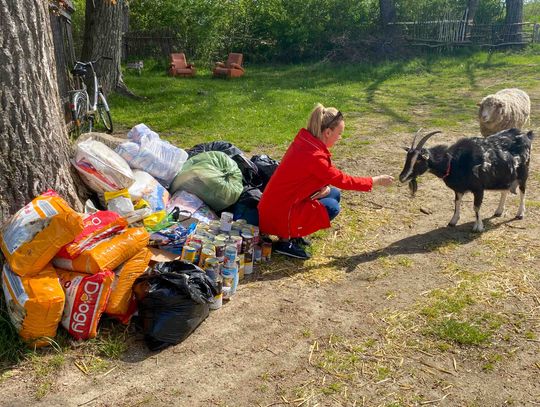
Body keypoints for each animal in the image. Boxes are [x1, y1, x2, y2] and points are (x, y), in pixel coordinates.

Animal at [398, 129, 532, 234]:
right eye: (407, 158)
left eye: (418, 160)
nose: (402, 177)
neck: (453, 162)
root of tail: (526, 135)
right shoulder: (458, 189)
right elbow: (456, 203)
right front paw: (453, 221)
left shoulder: (478, 188)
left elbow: (476, 207)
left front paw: (478, 227)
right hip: (505, 175)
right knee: (504, 190)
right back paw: (498, 211)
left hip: (523, 173)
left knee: (523, 191)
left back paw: (520, 214)